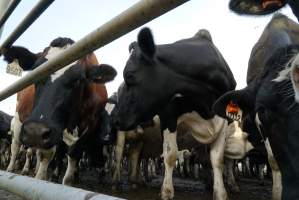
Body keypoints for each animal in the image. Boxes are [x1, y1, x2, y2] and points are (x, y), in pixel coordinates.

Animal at [111, 27, 250, 200]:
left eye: (129, 75)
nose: (114, 119)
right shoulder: (168, 115)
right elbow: (170, 155)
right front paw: (166, 191)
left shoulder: (223, 121)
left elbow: (216, 159)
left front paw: (220, 192)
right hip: (122, 135)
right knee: (119, 153)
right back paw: (116, 182)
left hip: (140, 139)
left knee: (135, 155)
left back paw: (136, 181)